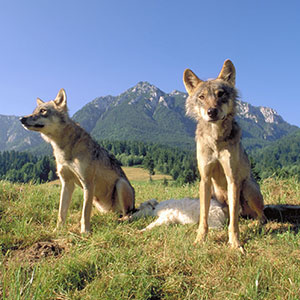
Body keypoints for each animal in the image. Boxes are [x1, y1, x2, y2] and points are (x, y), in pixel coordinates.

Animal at [20, 89, 135, 234]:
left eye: (43, 111)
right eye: (34, 111)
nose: (21, 119)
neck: (64, 148)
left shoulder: (88, 183)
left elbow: (84, 213)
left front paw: (85, 232)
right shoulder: (67, 183)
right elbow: (61, 212)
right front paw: (58, 230)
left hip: (121, 184)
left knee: (129, 214)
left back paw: (121, 220)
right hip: (97, 201)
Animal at [183, 59, 264, 251]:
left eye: (220, 94)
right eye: (202, 97)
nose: (211, 112)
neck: (216, 140)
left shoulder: (232, 179)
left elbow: (233, 224)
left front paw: (235, 244)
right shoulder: (205, 179)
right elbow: (203, 218)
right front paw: (200, 240)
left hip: (247, 188)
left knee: (259, 217)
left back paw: (254, 224)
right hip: (215, 196)